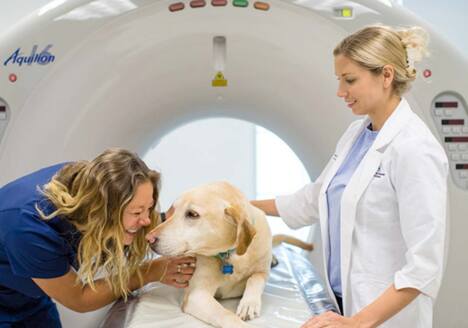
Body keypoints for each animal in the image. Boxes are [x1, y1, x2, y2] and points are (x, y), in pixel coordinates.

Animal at [146, 182, 270, 328]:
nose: (149, 239)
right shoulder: (196, 295)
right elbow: (225, 314)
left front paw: (249, 304)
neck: (230, 254)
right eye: (173, 211)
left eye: (192, 214)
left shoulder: (262, 271)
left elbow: (255, 278)